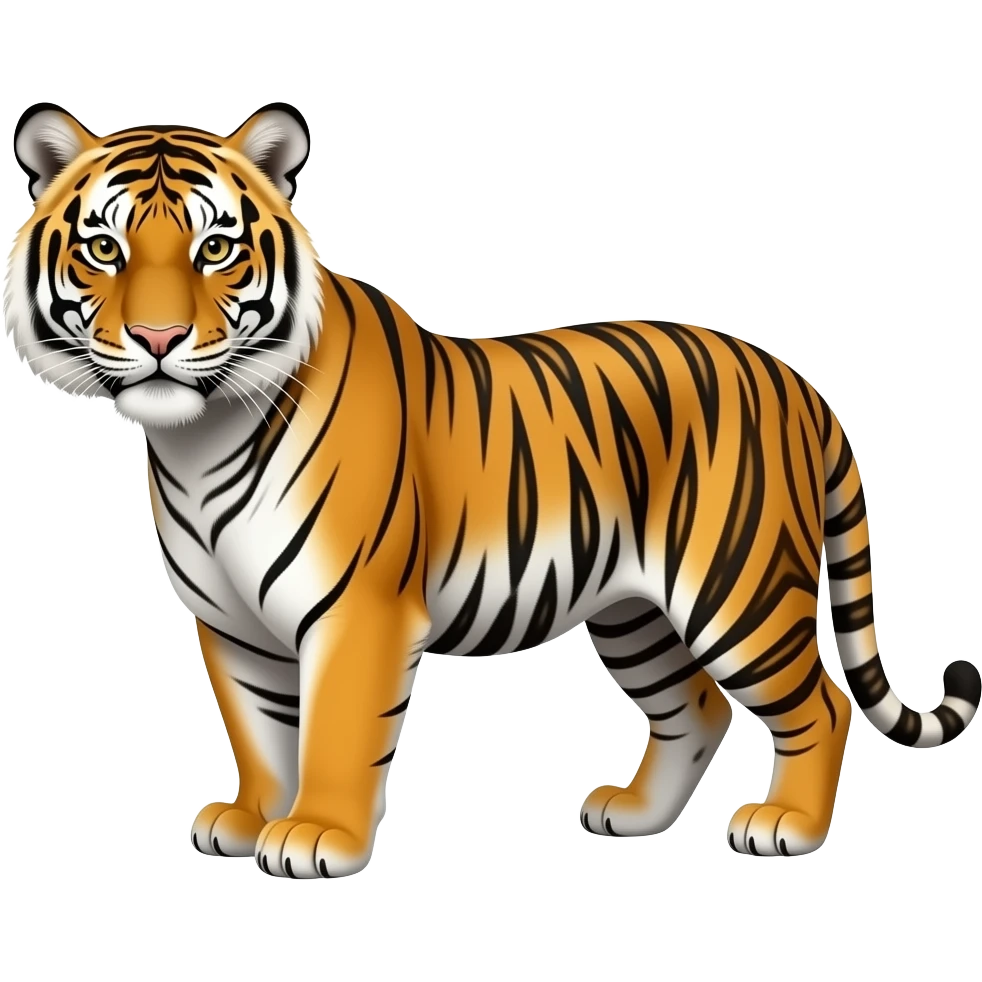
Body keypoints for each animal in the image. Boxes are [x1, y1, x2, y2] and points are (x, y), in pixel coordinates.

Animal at [4, 101, 979, 879]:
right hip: (634, 611)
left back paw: (788, 828)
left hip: (736, 590)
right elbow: (259, 733)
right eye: (103, 248)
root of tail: (796, 380)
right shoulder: (231, 623)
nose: (158, 339)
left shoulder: (356, 610)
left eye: (216, 249)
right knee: (695, 707)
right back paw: (634, 815)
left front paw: (316, 836)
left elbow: (333, 733)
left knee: (821, 703)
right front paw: (249, 821)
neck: (197, 440)